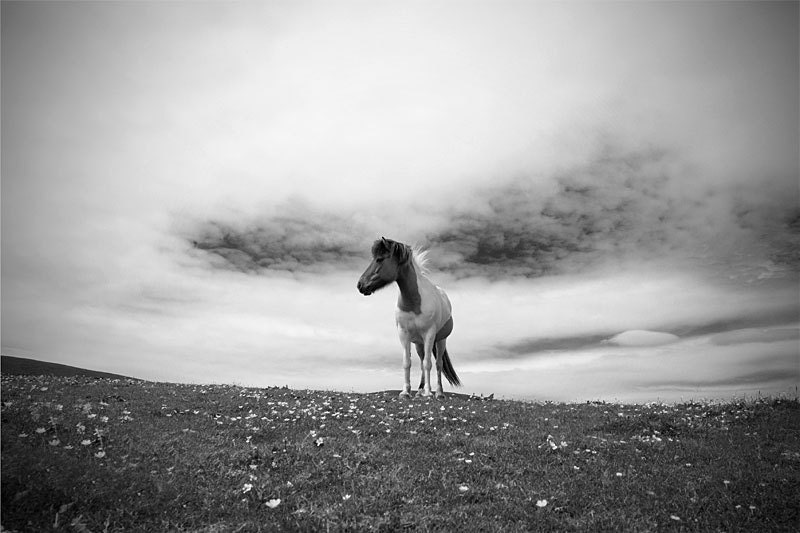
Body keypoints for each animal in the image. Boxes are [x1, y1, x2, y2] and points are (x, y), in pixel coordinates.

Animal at [357, 237, 461, 398]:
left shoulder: (429, 334)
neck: (414, 303)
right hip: (419, 344)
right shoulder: (403, 334)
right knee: (423, 361)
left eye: (380, 259)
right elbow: (407, 362)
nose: (360, 285)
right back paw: (419, 391)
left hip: (440, 341)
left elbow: (428, 364)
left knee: (438, 364)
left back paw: (438, 393)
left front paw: (429, 393)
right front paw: (406, 392)